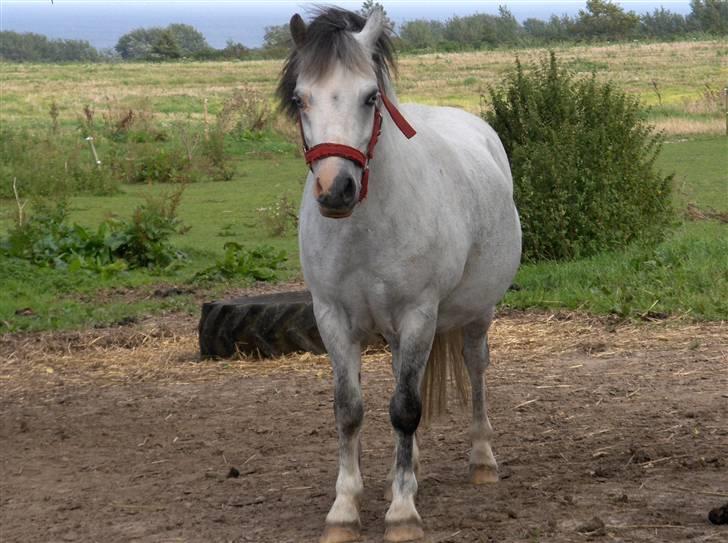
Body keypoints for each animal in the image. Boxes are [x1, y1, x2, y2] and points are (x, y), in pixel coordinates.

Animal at [278, 7, 524, 543]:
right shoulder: (332, 318)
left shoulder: (418, 315)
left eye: (370, 96)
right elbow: (350, 410)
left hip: (476, 314)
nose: (336, 190)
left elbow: (406, 409)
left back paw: (481, 460)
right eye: (300, 98)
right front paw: (345, 508)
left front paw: (402, 513)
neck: (365, 226)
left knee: (475, 369)